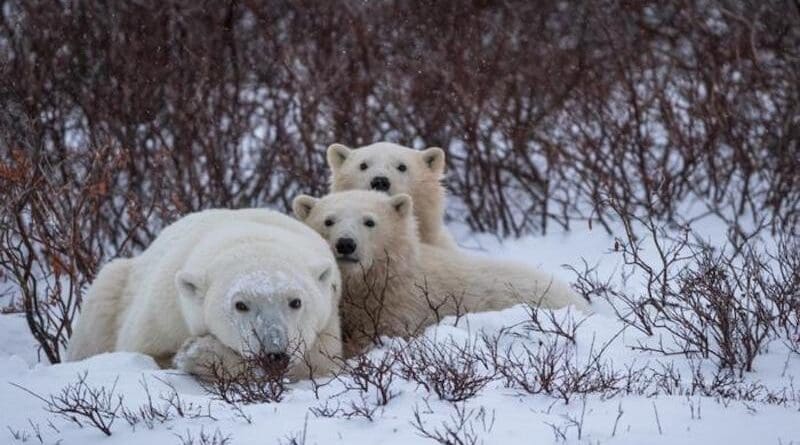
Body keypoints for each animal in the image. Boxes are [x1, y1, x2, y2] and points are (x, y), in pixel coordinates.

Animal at [66, 208, 342, 380]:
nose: (274, 354)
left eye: (296, 302)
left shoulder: (327, 323)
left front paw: (197, 353)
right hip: (113, 288)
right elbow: (149, 354)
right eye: (240, 305)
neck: (247, 235)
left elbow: (318, 365)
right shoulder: (164, 315)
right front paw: (193, 353)